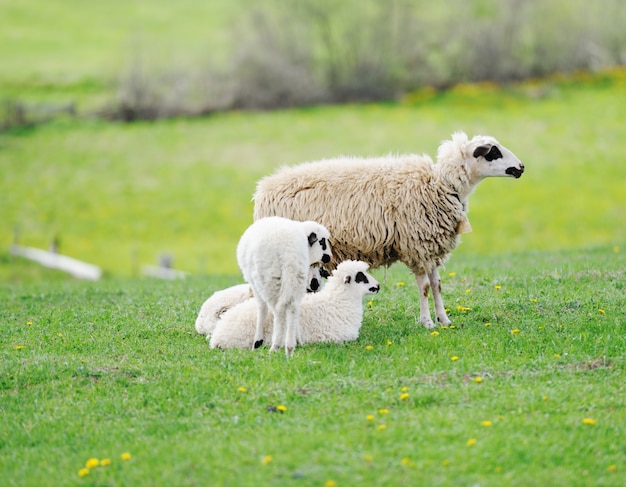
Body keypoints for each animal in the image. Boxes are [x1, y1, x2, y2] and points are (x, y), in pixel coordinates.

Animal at [235, 215, 332, 356]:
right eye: (322, 242)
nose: (329, 257)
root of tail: (289, 251)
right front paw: (299, 340)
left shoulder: (254, 283)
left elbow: (262, 309)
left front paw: (257, 341)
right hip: (297, 277)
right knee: (293, 309)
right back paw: (290, 346)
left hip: (270, 279)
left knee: (279, 312)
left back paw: (276, 346)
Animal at [252, 132, 520, 330]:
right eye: (493, 152)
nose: (521, 167)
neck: (442, 185)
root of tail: (262, 190)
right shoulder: (417, 245)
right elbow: (424, 287)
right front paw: (427, 323)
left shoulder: (429, 248)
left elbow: (436, 285)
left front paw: (444, 319)